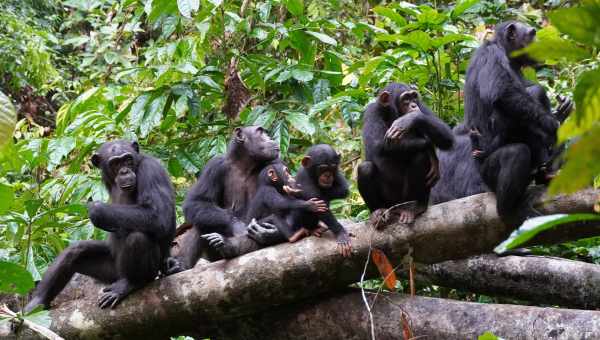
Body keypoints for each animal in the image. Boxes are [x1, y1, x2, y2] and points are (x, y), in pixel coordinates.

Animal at [25, 139, 176, 312]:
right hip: (110, 272)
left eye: (127, 160)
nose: (124, 171)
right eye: (115, 163)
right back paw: (36, 303)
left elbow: (159, 216)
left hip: (147, 272)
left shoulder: (152, 170)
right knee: (75, 251)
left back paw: (130, 283)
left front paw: (96, 209)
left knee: (138, 238)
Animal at [176, 125, 284, 268]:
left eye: (264, 133)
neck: (246, 163)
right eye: (260, 133)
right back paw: (180, 265)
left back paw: (232, 246)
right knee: (201, 220)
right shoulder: (214, 165)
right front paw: (237, 226)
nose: (270, 138)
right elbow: (197, 201)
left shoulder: (277, 162)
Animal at [356, 83, 454, 228]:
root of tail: (396, 208)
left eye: (414, 97)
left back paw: (416, 207)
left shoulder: (422, 105)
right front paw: (430, 149)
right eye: (405, 99)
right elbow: (376, 144)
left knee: (420, 156)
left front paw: (411, 119)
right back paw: (377, 212)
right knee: (365, 168)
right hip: (389, 203)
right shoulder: (371, 112)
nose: (413, 105)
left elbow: (447, 137)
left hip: (405, 199)